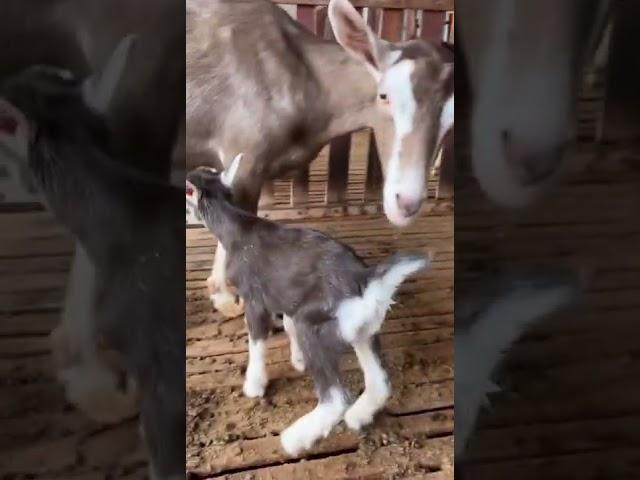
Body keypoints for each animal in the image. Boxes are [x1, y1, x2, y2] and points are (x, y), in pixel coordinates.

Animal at [188, 156, 432, 456]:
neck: (235, 227)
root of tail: (365, 281)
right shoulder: (289, 298)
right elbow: (288, 325)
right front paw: (298, 361)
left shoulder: (255, 299)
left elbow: (256, 341)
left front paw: (254, 385)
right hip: (363, 330)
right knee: (380, 382)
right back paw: (358, 416)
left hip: (316, 325)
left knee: (335, 397)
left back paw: (295, 439)